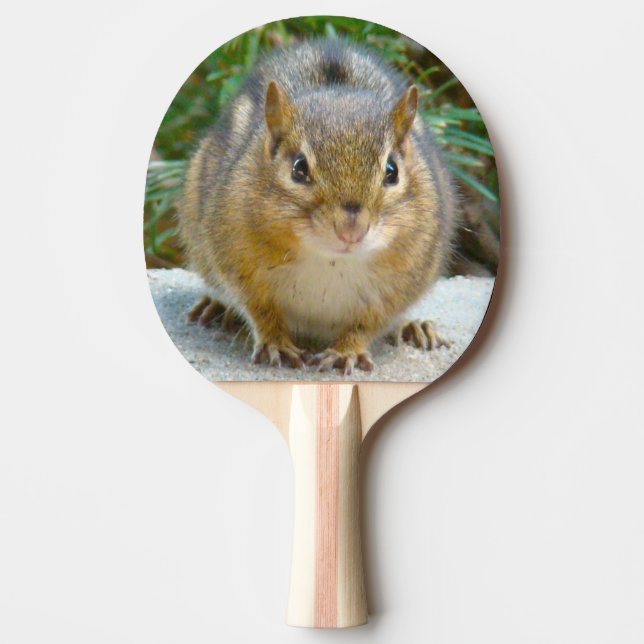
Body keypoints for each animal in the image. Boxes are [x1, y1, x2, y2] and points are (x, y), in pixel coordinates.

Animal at [178, 38, 458, 374]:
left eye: (392, 170)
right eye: (299, 168)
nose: (351, 231)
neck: (330, 260)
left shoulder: (404, 281)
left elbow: (369, 323)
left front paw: (347, 351)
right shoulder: (236, 259)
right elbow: (259, 309)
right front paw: (276, 342)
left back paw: (414, 327)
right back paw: (216, 307)